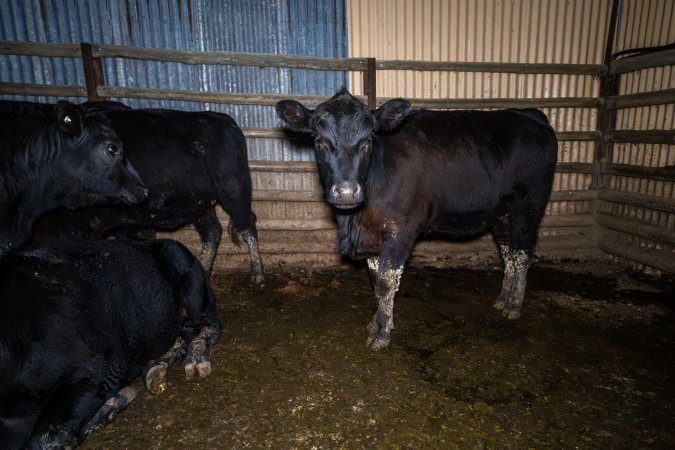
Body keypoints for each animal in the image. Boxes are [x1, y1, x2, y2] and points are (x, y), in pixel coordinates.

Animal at [0, 237, 222, 448]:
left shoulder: (103, 366)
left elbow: (45, 438)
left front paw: (115, 402)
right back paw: (156, 368)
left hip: (190, 278)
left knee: (208, 323)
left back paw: (195, 360)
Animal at [29, 103, 266, 282]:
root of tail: (225, 120)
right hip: (200, 203)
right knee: (212, 232)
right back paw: (203, 270)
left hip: (233, 190)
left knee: (246, 223)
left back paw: (257, 273)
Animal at [278, 87, 556, 348]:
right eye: (318, 139)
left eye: (368, 140)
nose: (346, 192)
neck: (356, 221)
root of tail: (528, 114)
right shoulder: (374, 234)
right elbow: (376, 281)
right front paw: (379, 321)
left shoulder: (401, 230)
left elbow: (386, 282)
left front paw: (380, 333)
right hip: (502, 215)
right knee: (509, 254)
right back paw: (502, 300)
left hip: (528, 208)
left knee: (522, 254)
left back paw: (514, 305)